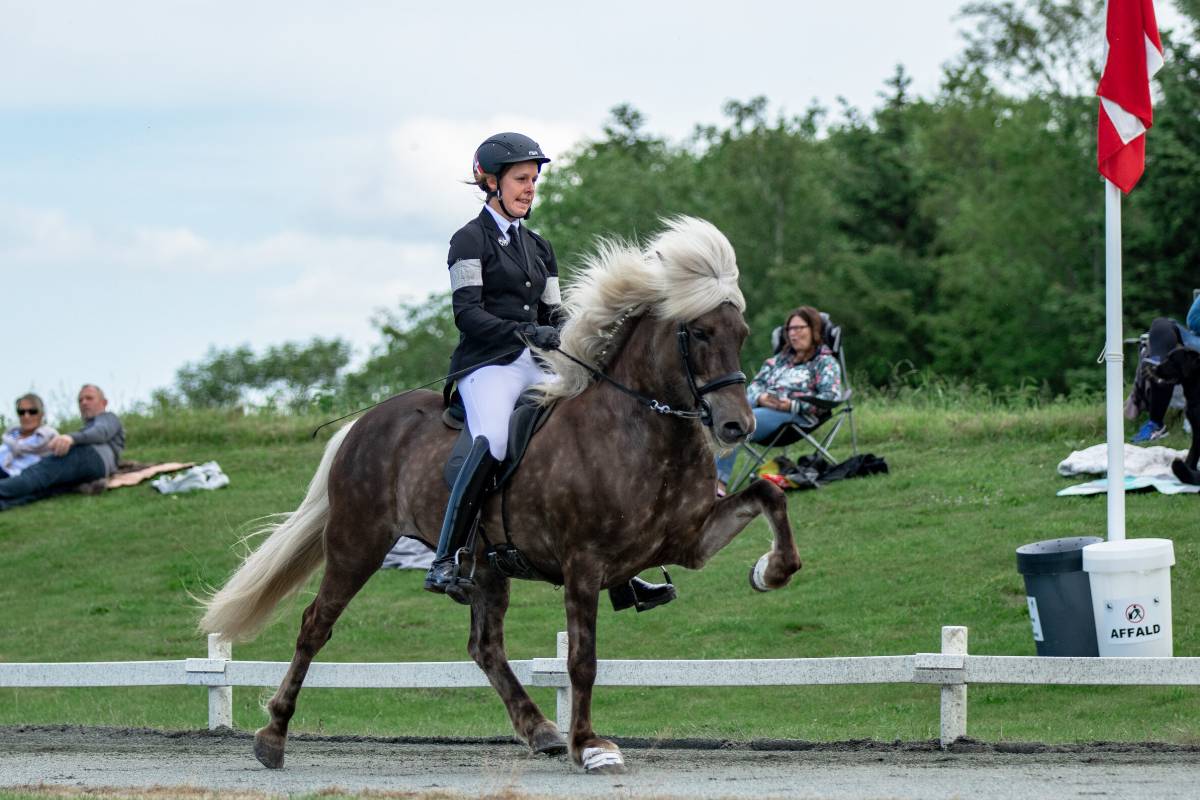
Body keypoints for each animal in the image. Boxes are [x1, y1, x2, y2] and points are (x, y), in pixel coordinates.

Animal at [201, 215, 801, 772]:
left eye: (741, 331)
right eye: (698, 333)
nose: (738, 426)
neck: (640, 428)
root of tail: (364, 423)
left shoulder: (689, 541)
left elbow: (770, 497)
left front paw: (769, 571)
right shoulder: (582, 563)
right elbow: (582, 659)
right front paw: (590, 746)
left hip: (485, 564)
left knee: (484, 646)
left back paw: (540, 730)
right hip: (357, 543)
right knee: (315, 625)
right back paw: (273, 738)